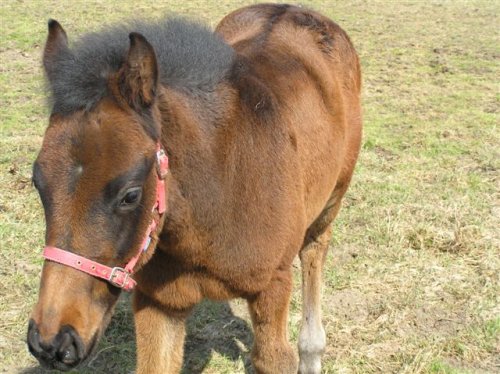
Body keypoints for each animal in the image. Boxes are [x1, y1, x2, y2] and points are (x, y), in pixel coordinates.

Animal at [28, 3, 360, 374]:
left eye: (130, 195)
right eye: (38, 183)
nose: (53, 341)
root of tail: (291, 8)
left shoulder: (273, 288)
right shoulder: (159, 302)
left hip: (331, 201)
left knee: (315, 250)